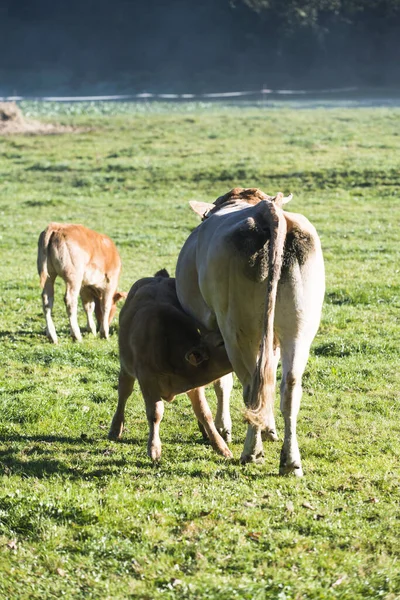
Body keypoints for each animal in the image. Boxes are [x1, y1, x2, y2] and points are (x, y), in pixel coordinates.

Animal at [108, 270, 234, 462]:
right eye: (220, 343)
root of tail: (158, 278)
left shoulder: (194, 385)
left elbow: (205, 413)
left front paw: (220, 446)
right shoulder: (147, 379)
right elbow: (155, 413)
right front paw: (154, 448)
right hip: (126, 367)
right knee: (124, 392)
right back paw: (116, 427)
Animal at [176, 185, 324, 476]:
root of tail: (267, 210)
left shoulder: (211, 330)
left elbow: (220, 381)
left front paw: (222, 428)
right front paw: (269, 428)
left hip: (237, 330)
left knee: (250, 386)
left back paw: (251, 452)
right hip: (299, 327)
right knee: (289, 386)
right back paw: (290, 461)